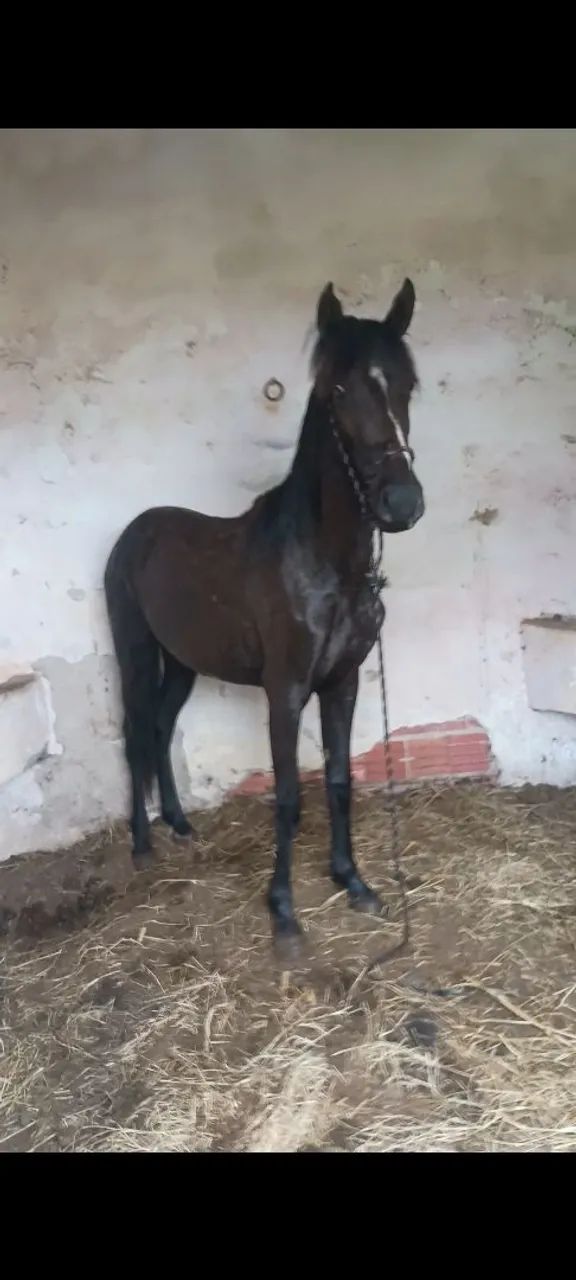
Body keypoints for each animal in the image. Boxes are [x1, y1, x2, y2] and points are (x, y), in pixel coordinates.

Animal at [104, 278, 425, 951]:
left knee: (161, 727)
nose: (401, 503)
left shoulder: (342, 683)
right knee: (135, 731)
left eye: (407, 385)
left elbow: (338, 781)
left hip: (183, 661)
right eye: (337, 389)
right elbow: (287, 797)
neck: (325, 561)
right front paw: (283, 913)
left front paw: (353, 882)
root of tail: (135, 532)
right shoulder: (286, 690)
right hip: (135, 653)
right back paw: (144, 845)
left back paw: (179, 825)